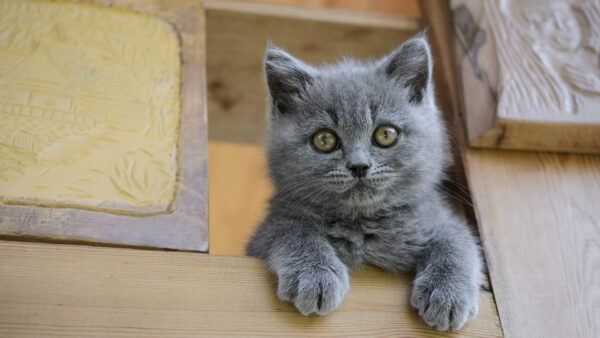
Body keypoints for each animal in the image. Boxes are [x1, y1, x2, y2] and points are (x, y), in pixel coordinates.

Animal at [245, 34, 482, 330]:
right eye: (324, 139)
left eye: (386, 134)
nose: (359, 166)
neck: (362, 223)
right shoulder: (261, 237)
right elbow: (291, 228)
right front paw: (314, 274)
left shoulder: (439, 219)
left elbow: (457, 239)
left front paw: (448, 293)